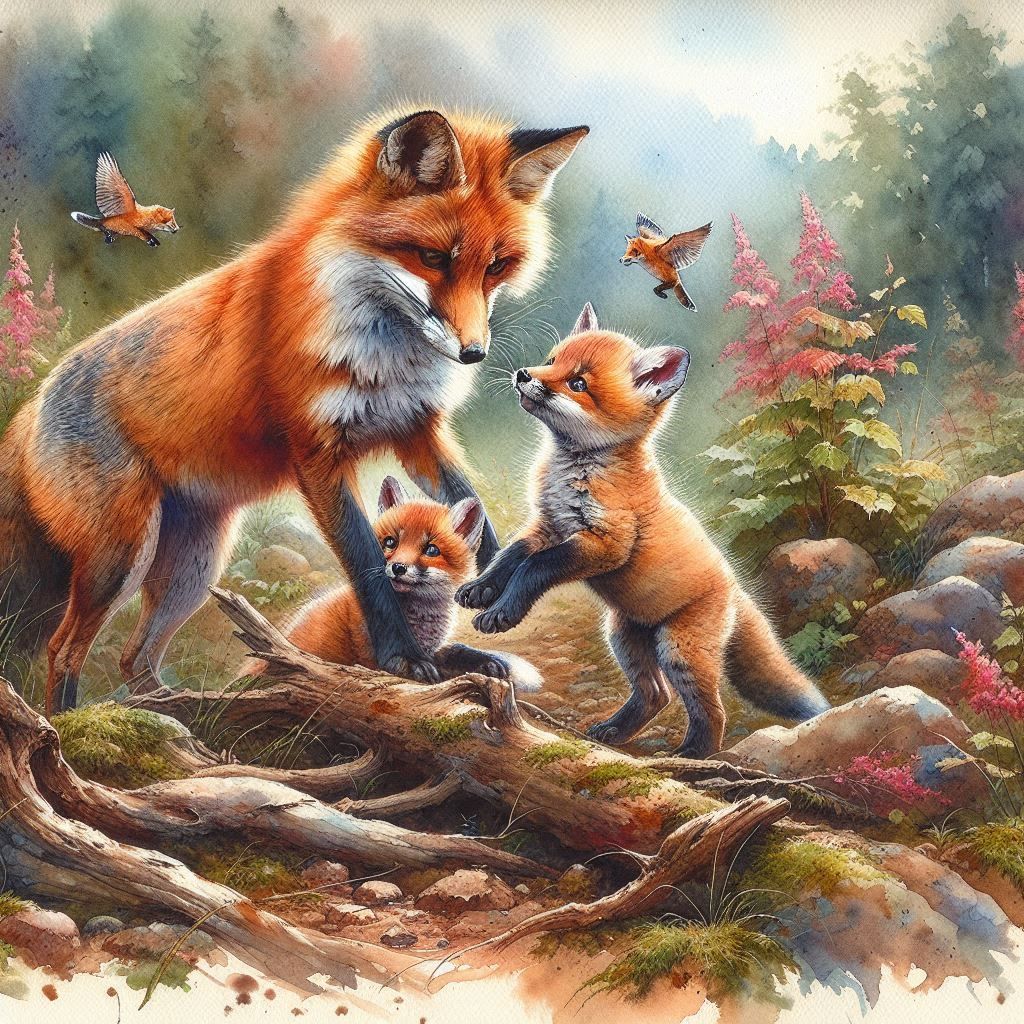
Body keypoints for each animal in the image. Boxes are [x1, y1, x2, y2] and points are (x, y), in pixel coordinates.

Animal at [249, 476, 541, 690]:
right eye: (391, 542)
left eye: (431, 549)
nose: (398, 568)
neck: (421, 622)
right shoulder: (371, 658)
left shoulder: (432, 650)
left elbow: (457, 650)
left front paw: (486, 661)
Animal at [455, 303, 829, 757]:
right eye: (551, 360)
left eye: (578, 383)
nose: (524, 374)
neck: (577, 468)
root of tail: (735, 589)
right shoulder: (547, 526)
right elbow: (511, 556)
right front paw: (481, 590)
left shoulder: (606, 543)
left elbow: (535, 568)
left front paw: (503, 612)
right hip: (624, 636)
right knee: (656, 695)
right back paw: (614, 732)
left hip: (678, 650)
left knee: (713, 710)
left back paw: (692, 755)